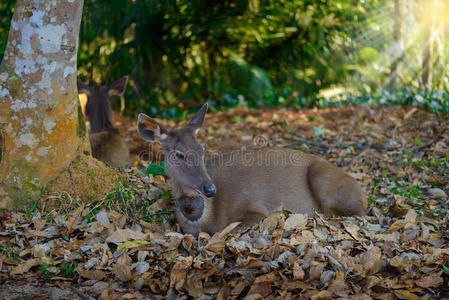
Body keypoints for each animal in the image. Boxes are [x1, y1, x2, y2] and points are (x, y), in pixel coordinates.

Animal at [136, 104, 364, 236]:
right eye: (179, 154)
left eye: (202, 150)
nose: (210, 189)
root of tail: (363, 194)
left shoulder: (254, 208)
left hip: (324, 180)